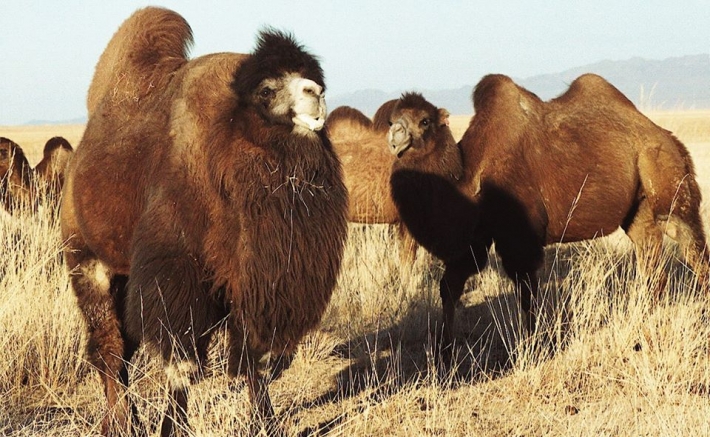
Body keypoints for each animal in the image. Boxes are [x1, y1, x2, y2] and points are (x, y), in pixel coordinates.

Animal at [62, 5, 350, 432]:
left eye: (312, 77)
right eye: (267, 90)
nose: (315, 93)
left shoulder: (249, 279)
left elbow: (254, 357)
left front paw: (266, 423)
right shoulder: (177, 270)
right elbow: (181, 361)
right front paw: (172, 427)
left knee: (121, 348)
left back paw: (128, 420)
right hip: (86, 260)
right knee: (109, 347)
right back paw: (122, 422)